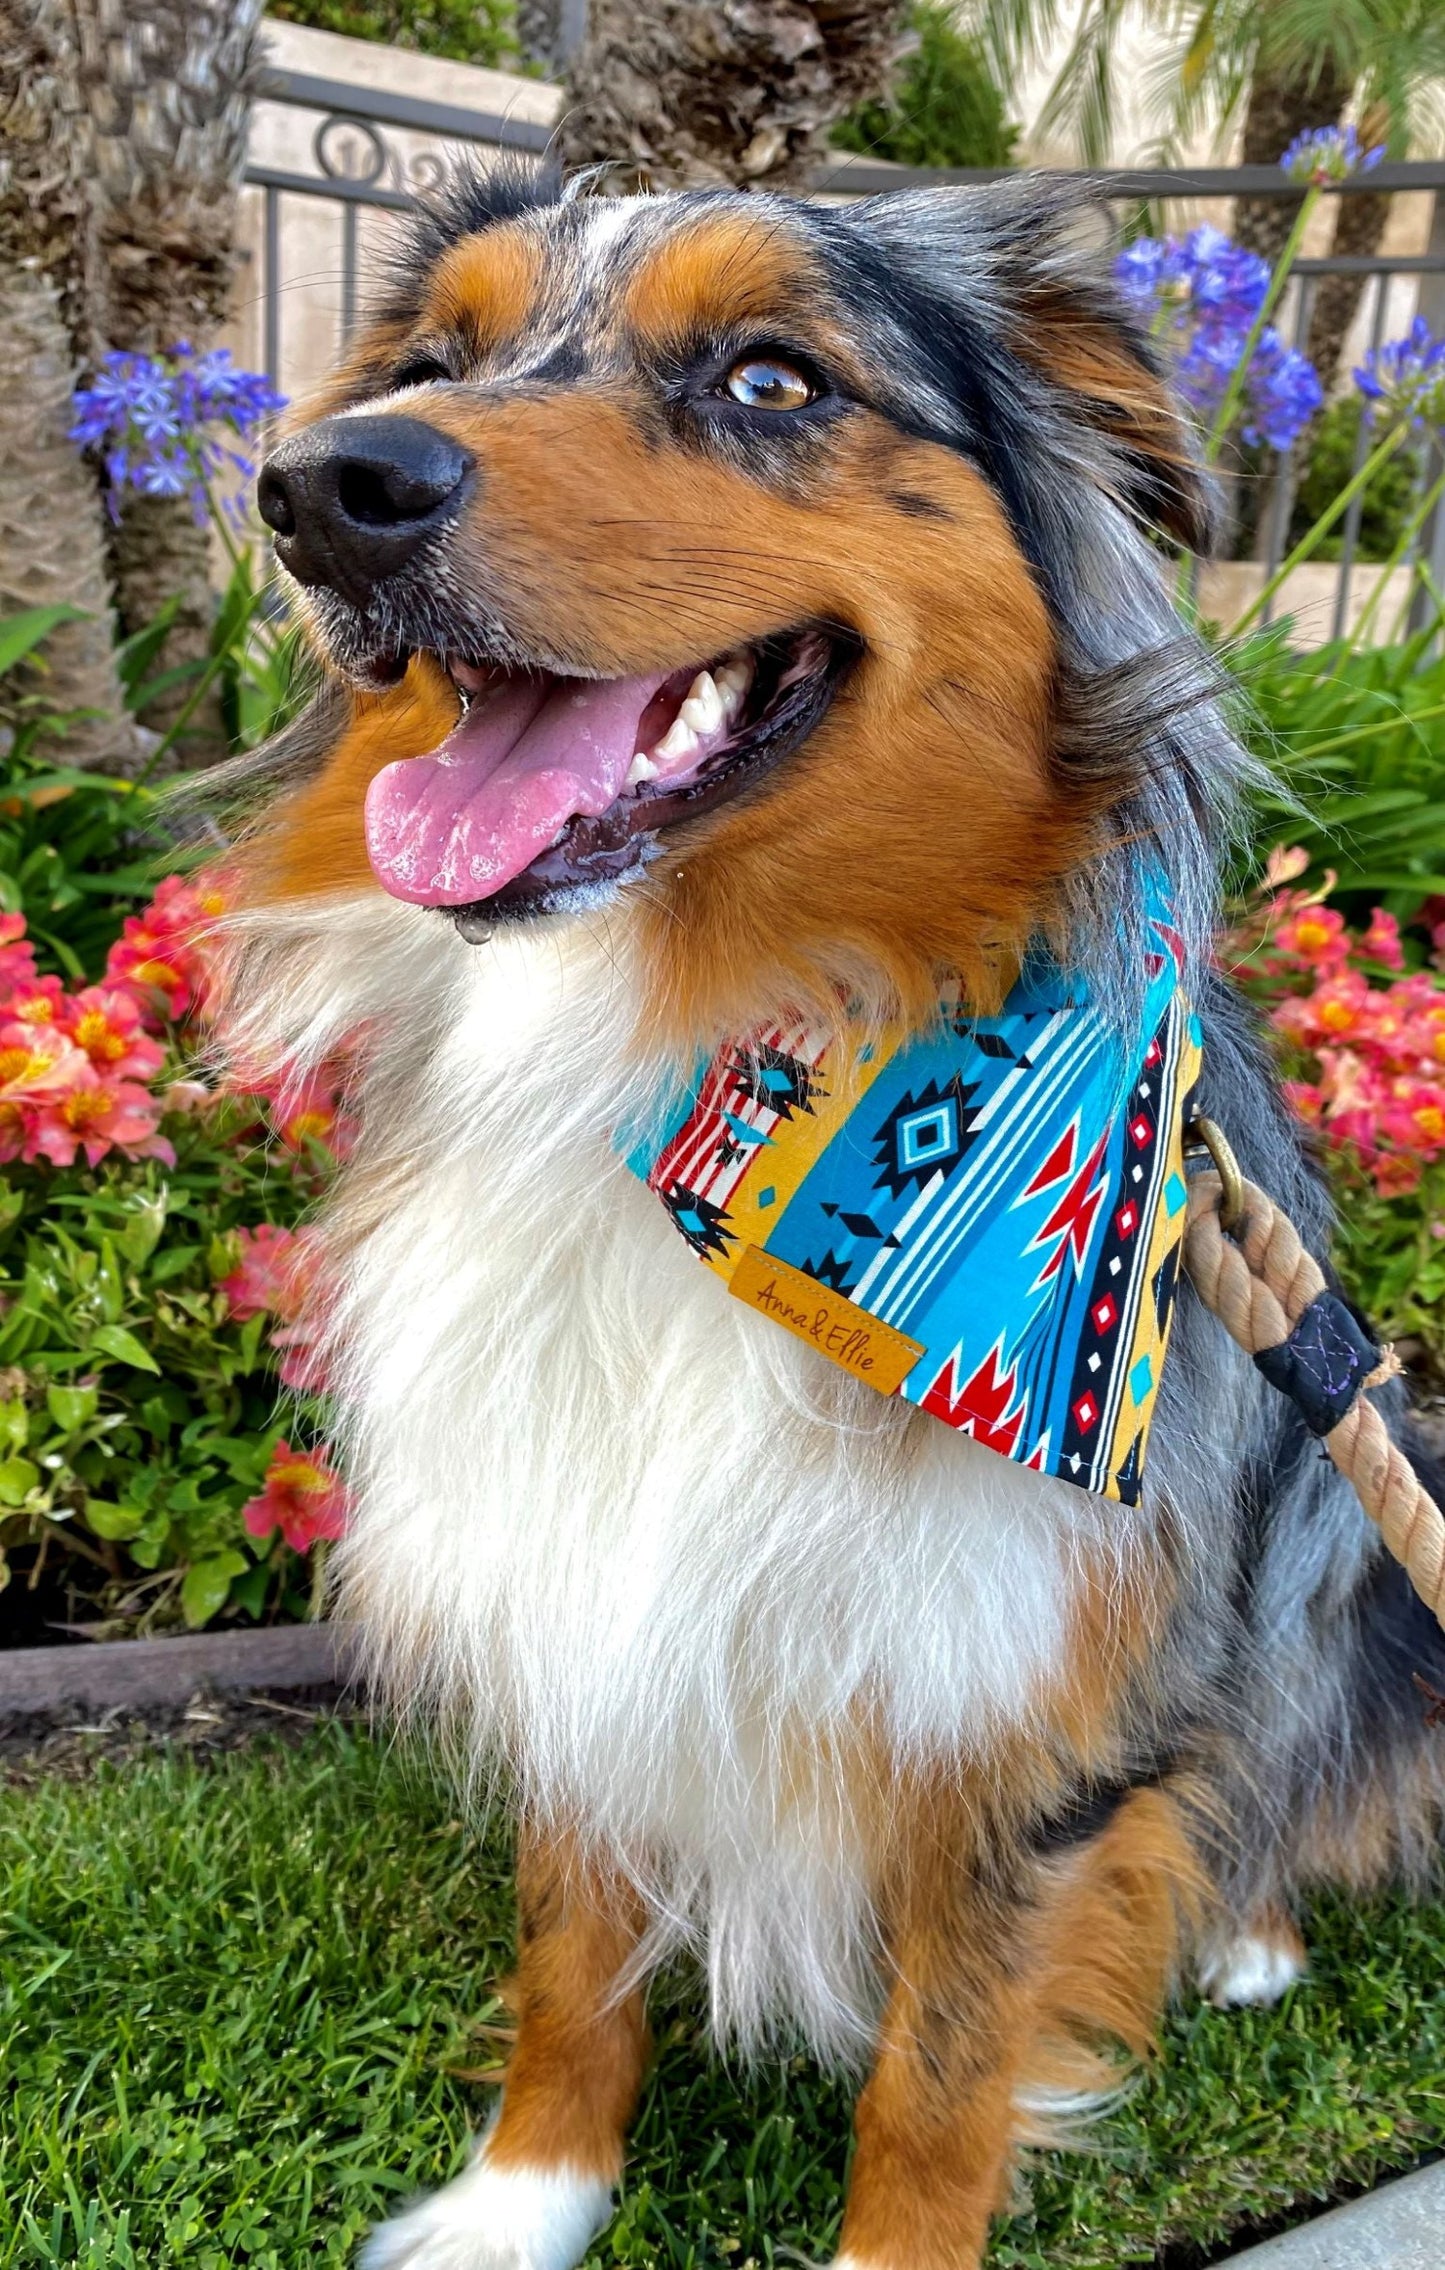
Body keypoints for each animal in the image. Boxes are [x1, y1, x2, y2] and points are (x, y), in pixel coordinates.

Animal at [214, 172, 1442, 2270]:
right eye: (436, 358)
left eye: (771, 377)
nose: (321, 486)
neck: (701, 1067)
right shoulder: (571, 1581)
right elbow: (575, 1958)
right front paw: (526, 2201)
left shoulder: (1026, 1712)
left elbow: (940, 2079)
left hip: (1354, 1512)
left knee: (1290, 1755)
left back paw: (1254, 1935)